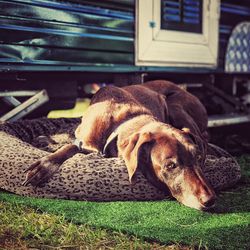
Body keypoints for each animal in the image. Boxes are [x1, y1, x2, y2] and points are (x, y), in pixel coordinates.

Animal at [23, 80, 215, 211]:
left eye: (198, 158)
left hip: (175, 105)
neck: (121, 123)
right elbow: (70, 145)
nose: (211, 200)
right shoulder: (83, 137)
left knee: (203, 137)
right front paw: (46, 161)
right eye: (170, 165)